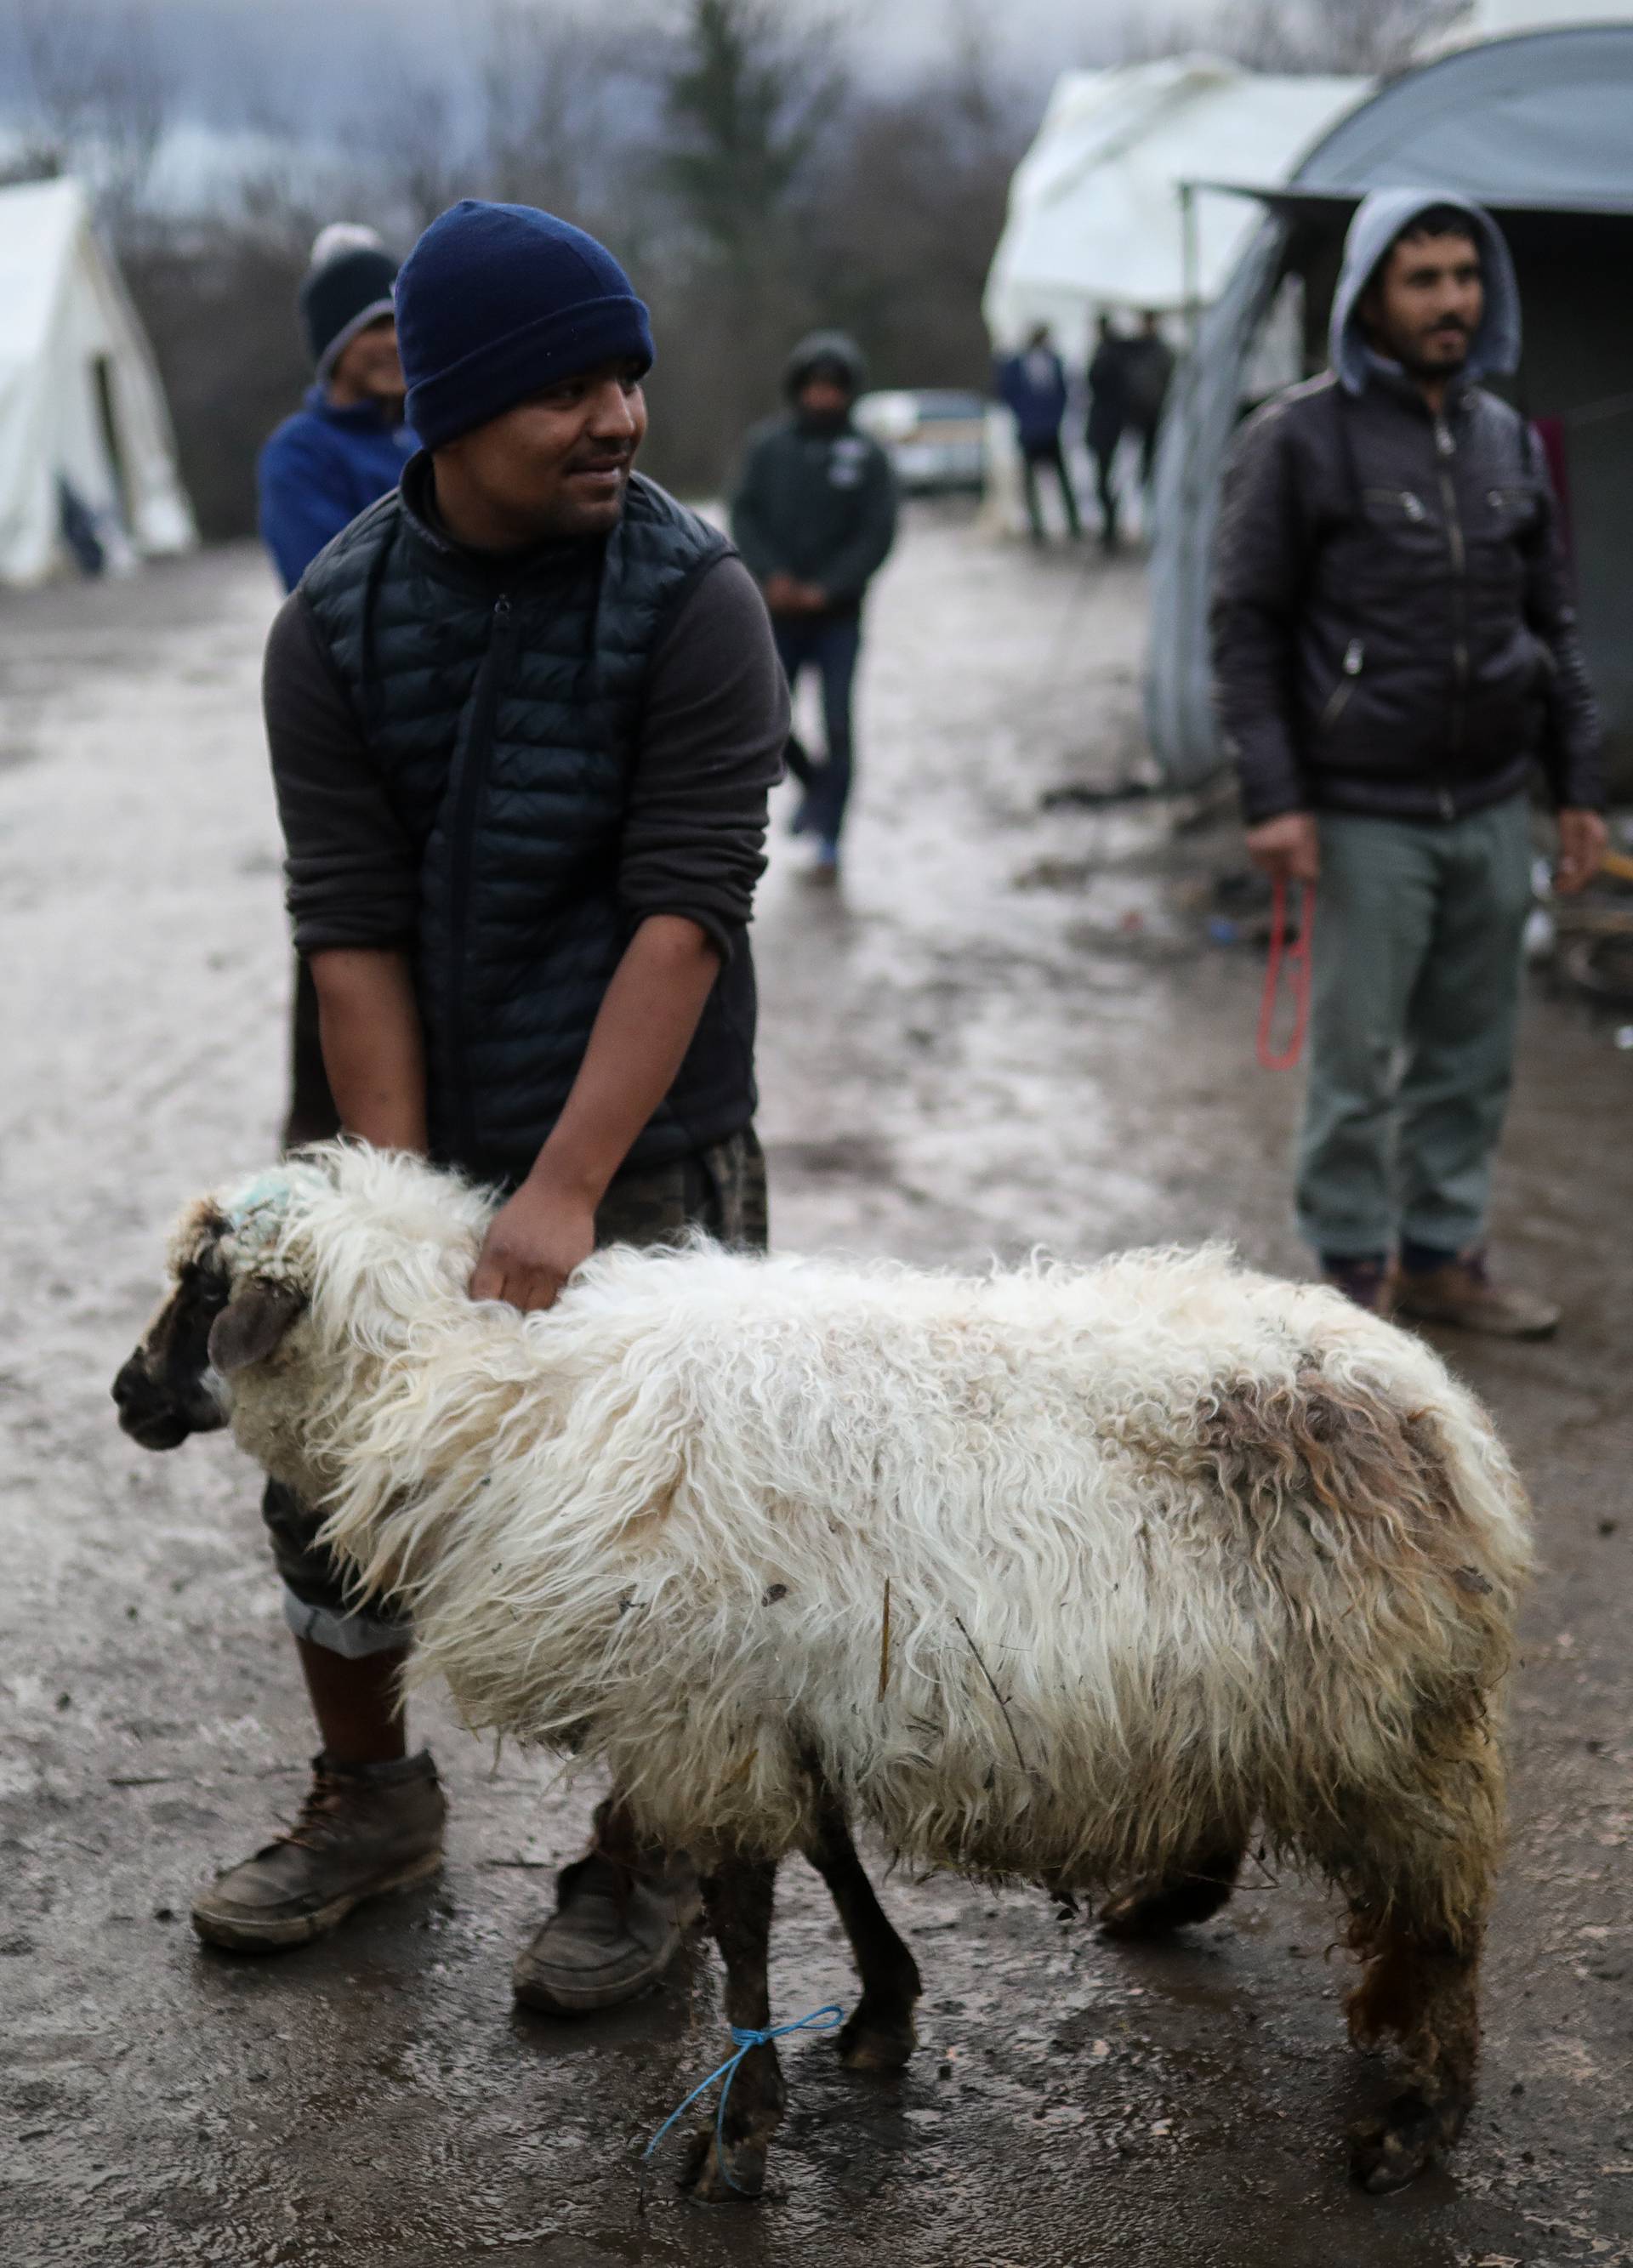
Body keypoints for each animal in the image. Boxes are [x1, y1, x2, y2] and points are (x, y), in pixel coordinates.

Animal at [114, 1151, 1533, 2195]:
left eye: (200, 1289)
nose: (127, 1395)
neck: (472, 1381)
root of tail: (1440, 1416)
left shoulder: (705, 1712)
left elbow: (745, 1920)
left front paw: (738, 2133)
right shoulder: (773, 1701)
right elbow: (832, 1852)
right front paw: (882, 2008)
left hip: (1402, 1717)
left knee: (1449, 1914)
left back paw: (1422, 2120)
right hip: (1266, 1685)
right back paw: (1170, 1898)